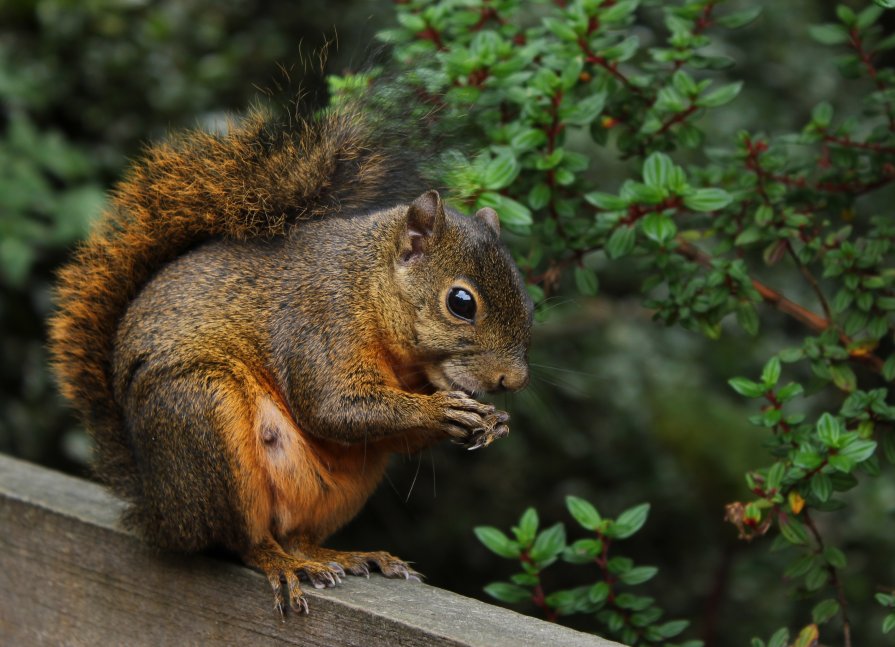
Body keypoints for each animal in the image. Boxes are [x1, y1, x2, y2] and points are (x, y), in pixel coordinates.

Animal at [47, 95, 532, 612]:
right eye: (461, 303)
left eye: (529, 301)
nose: (514, 380)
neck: (369, 282)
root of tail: (160, 512)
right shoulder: (320, 321)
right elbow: (332, 407)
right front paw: (442, 410)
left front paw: (493, 420)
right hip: (201, 414)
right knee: (242, 541)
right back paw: (282, 564)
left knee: (297, 536)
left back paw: (343, 556)